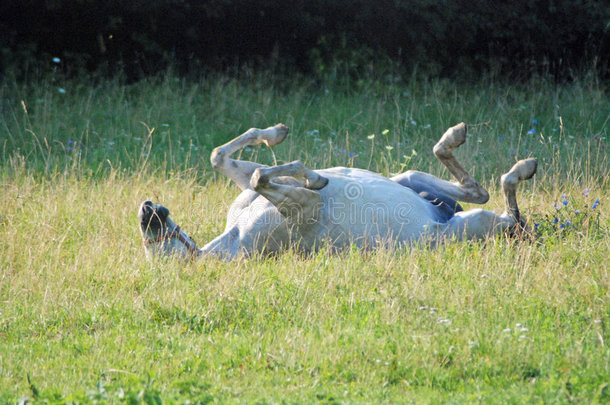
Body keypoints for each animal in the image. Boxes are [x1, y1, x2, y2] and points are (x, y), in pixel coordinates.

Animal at [138, 123, 532, 260]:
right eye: (151, 246)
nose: (146, 209)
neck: (234, 236)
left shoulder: (244, 184)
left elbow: (224, 158)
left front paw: (276, 133)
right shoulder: (306, 205)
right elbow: (267, 178)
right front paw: (313, 176)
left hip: (410, 177)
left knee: (475, 189)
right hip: (465, 227)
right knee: (507, 212)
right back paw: (519, 173)